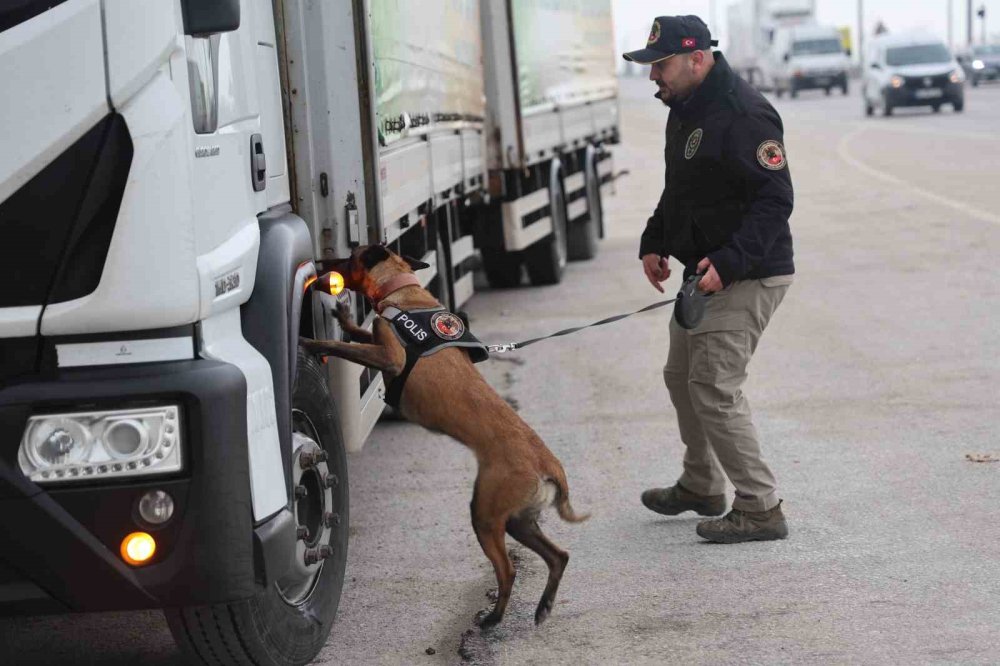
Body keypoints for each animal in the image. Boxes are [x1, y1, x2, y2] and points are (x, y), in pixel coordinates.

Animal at [300, 243, 588, 624]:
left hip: (485, 515)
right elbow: (358, 336)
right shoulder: (376, 340)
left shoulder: (388, 356)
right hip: (517, 520)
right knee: (558, 556)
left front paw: (309, 341)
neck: (404, 293)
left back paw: (493, 618)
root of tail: (548, 464)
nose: (323, 264)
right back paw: (543, 606)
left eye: (350, 257)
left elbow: (347, 347)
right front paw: (345, 320)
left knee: (508, 570)